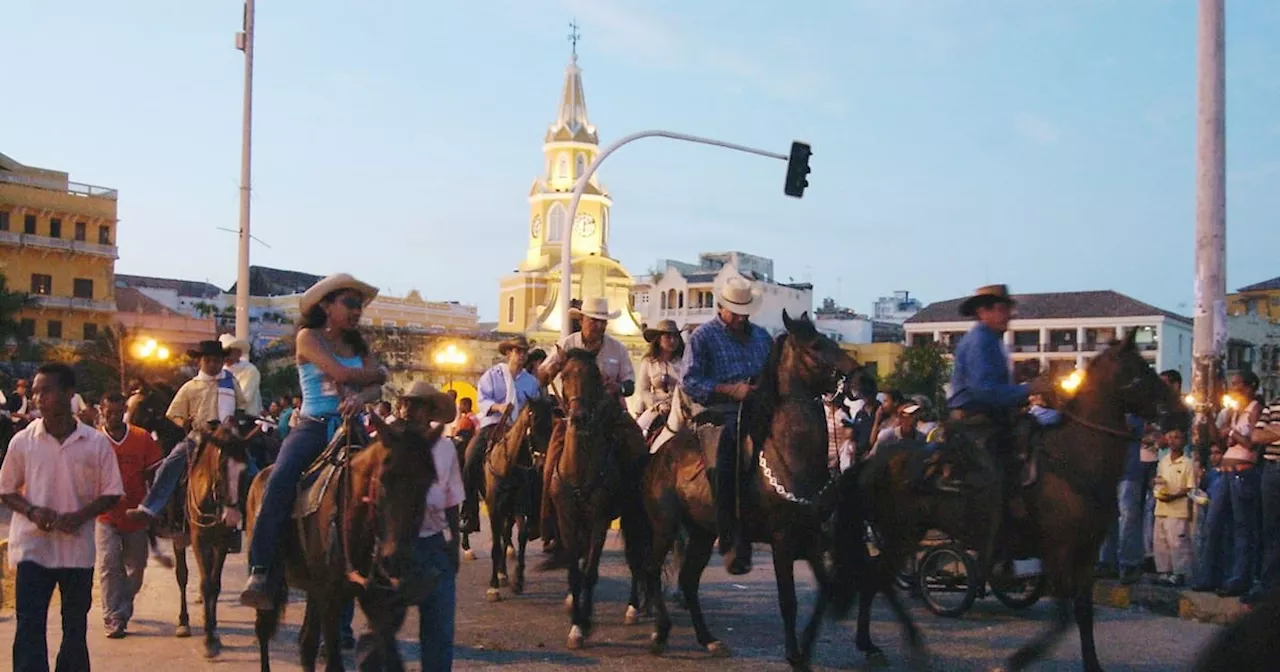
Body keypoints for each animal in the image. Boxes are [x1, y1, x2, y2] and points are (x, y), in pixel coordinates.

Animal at [245, 414, 440, 670]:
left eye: (428, 482)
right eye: (384, 478)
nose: (395, 559)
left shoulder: (376, 603)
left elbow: (391, 657)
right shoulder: (330, 598)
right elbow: (334, 662)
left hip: (313, 588)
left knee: (306, 642)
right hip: (275, 582)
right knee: (264, 630)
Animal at [481, 394, 552, 596]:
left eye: (552, 424)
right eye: (533, 424)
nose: (542, 464)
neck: (507, 467)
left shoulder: (519, 506)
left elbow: (521, 537)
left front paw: (517, 579)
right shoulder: (493, 508)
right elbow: (495, 545)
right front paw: (493, 586)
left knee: (506, 535)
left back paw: (503, 572)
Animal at [640, 309, 860, 665]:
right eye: (815, 345)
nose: (861, 380)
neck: (792, 454)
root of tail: (657, 456)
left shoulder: (811, 536)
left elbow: (825, 590)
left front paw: (807, 646)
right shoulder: (782, 540)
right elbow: (788, 601)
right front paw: (793, 653)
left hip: (702, 532)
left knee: (688, 581)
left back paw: (709, 640)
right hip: (665, 526)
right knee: (651, 569)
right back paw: (660, 633)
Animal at [829, 332, 1177, 665]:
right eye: (1143, 370)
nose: (1178, 411)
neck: (1073, 457)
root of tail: (872, 461)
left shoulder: (1086, 553)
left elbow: (1082, 613)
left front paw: (1092, 664)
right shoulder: (1060, 551)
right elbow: (1063, 618)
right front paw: (1021, 657)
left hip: (905, 535)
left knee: (877, 579)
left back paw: (875, 643)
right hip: (899, 534)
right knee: (877, 579)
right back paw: (887, 642)